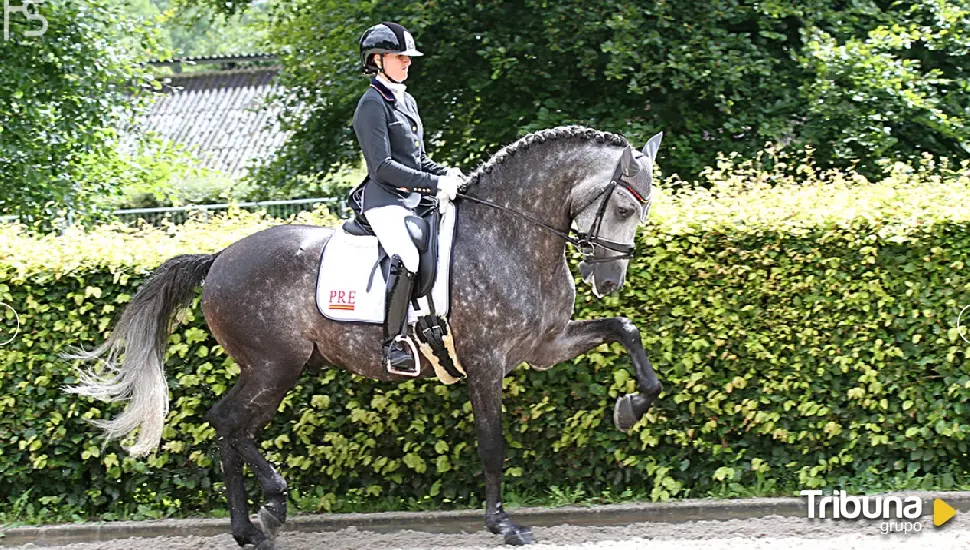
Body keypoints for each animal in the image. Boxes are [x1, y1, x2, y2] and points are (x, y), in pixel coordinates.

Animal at [64, 126, 660, 548]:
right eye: (622, 207)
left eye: (643, 209)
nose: (608, 281)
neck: (512, 234)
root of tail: (219, 258)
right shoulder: (486, 361)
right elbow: (492, 446)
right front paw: (503, 525)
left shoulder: (545, 346)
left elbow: (625, 329)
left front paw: (631, 407)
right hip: (273, 366)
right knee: (227, 423)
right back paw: (263, 513)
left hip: (281, 369)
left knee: (233, 427)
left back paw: (257, 522)